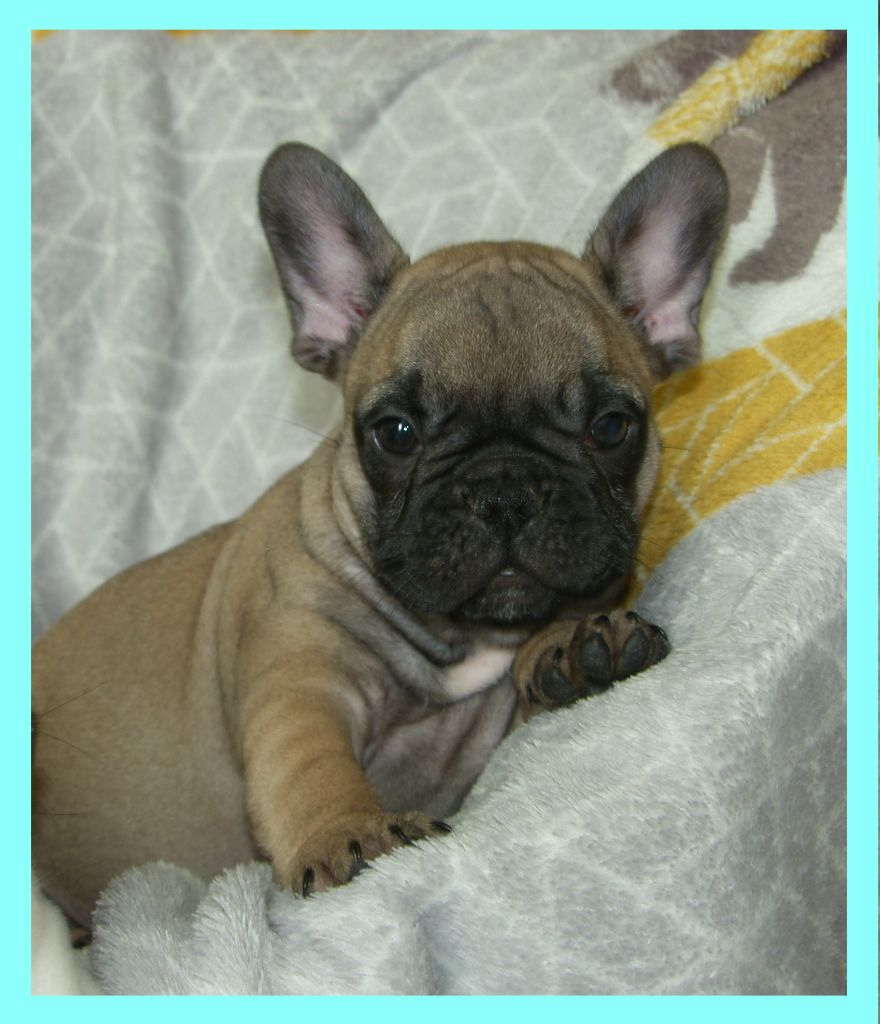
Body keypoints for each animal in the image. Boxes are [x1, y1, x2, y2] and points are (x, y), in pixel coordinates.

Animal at [32, 141, 728, 926]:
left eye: (610, 428)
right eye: (395, 433)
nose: (505, 493)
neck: (464, 637)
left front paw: (578, 646)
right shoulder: (303, 676)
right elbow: (309, 762)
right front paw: (352, 830)